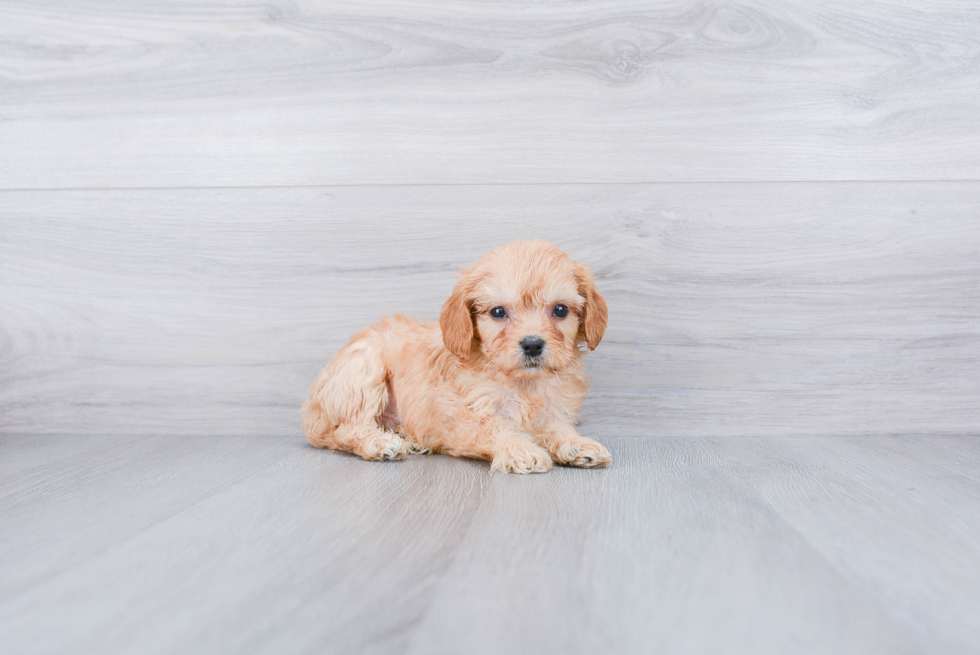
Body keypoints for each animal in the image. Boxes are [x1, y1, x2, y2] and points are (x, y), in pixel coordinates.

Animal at [304, 238, 612, 474]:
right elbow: (499, 427)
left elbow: (557, 429)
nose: (533, 344)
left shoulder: (553, 412)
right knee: (345, 430)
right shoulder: (465, 414)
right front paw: (521, 449)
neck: (523, 384)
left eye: (560, 310)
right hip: (363, 370)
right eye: (498, 312)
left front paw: (577, 444)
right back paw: (380, 443)